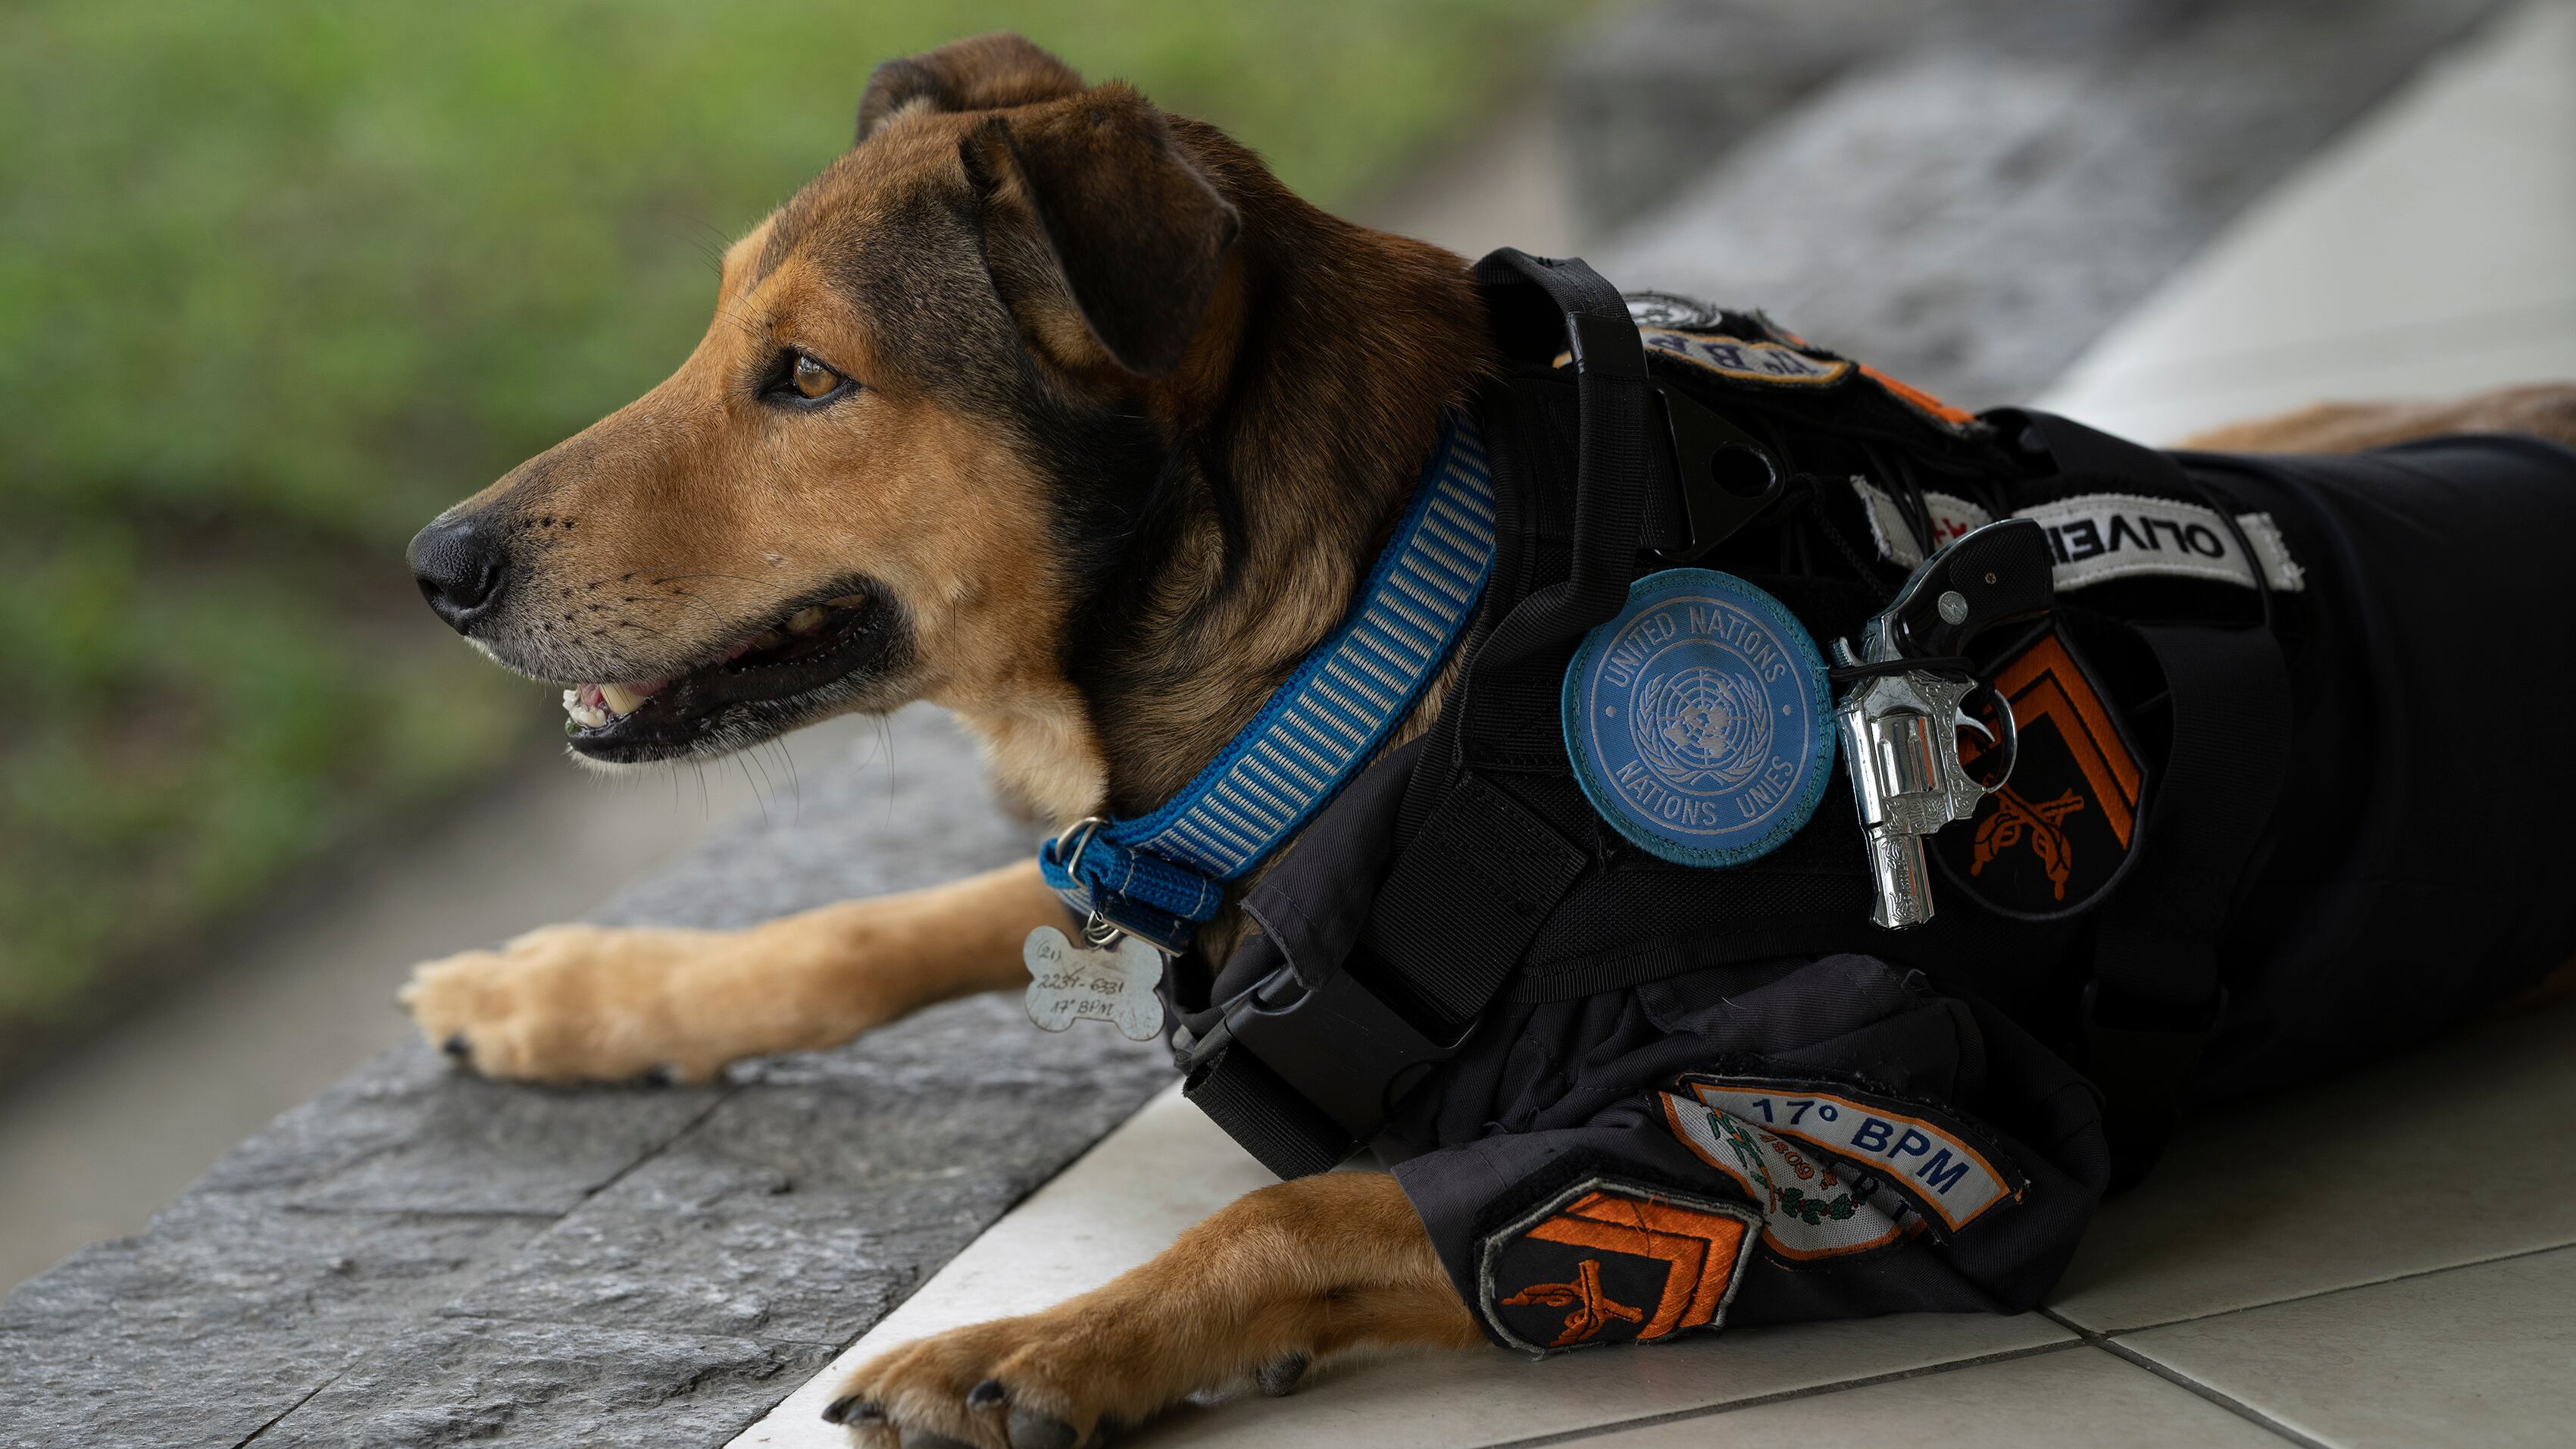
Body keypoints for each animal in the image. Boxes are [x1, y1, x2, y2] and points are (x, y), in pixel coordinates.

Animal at [401, 33, 2576, 1448]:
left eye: (805, 380)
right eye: (718, 337)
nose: (435, 564)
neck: (1389, 658)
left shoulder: (1871, 1132)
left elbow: (1314, 1202)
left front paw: (1039, 1349)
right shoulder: (1192, 860)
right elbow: (908, 918)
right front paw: (582, 993)